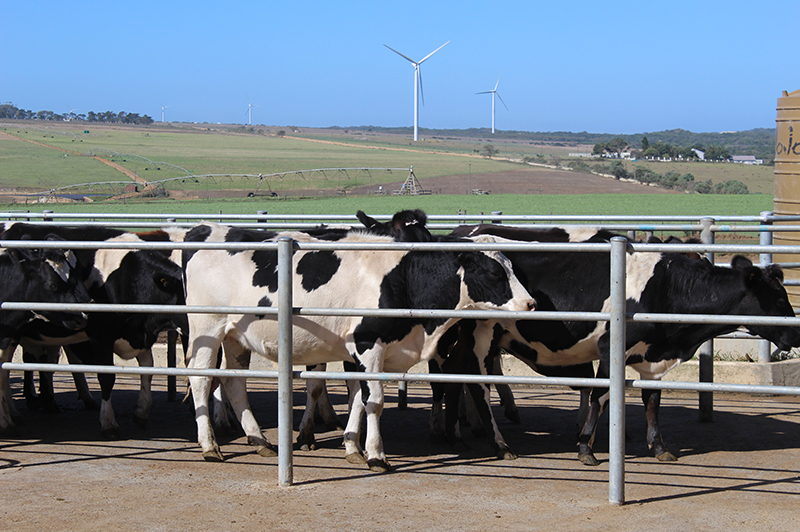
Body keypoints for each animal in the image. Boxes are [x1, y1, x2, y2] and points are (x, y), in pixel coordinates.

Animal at [184, 222, 536, 472]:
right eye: (494, 272)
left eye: (512, 267)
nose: (531, 303)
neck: (403, 278)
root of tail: (208, 230)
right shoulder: (368, 344)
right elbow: (375, 401)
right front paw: (377, 455)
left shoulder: (360, 351)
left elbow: (357, 398)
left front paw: (354, 448)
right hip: (207, 329)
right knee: (201, 380)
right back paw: (210, 447)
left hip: (235, 337)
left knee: (234, 383)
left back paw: (260, 441)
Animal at [438, 224, 800, 466]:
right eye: (778, 299)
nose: (795, 334)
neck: (666, 285)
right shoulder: (610, 347)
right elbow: (600, 395)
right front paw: (586, 447)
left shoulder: (652, 356)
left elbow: (652, 401)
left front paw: (659, 447)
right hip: (482, 335)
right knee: (479, 386)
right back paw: (499, 444)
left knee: (454, 374)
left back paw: (455, 434)